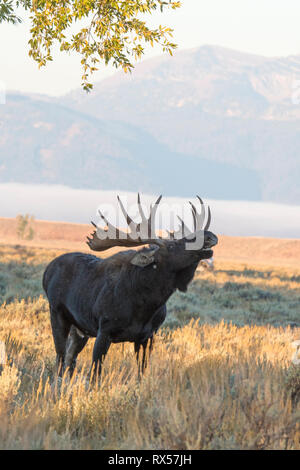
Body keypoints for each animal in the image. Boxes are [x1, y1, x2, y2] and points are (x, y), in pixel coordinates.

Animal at [42, 194, 218, 378]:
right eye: (172, 245)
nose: (209, 236)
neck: (146, 305)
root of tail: (47, 270)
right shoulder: (104, 331)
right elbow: (95, 374)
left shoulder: (147, 337)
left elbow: (141, 373)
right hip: (57, 315)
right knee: (60, 357)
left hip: (79, 329)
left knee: (70, 358)